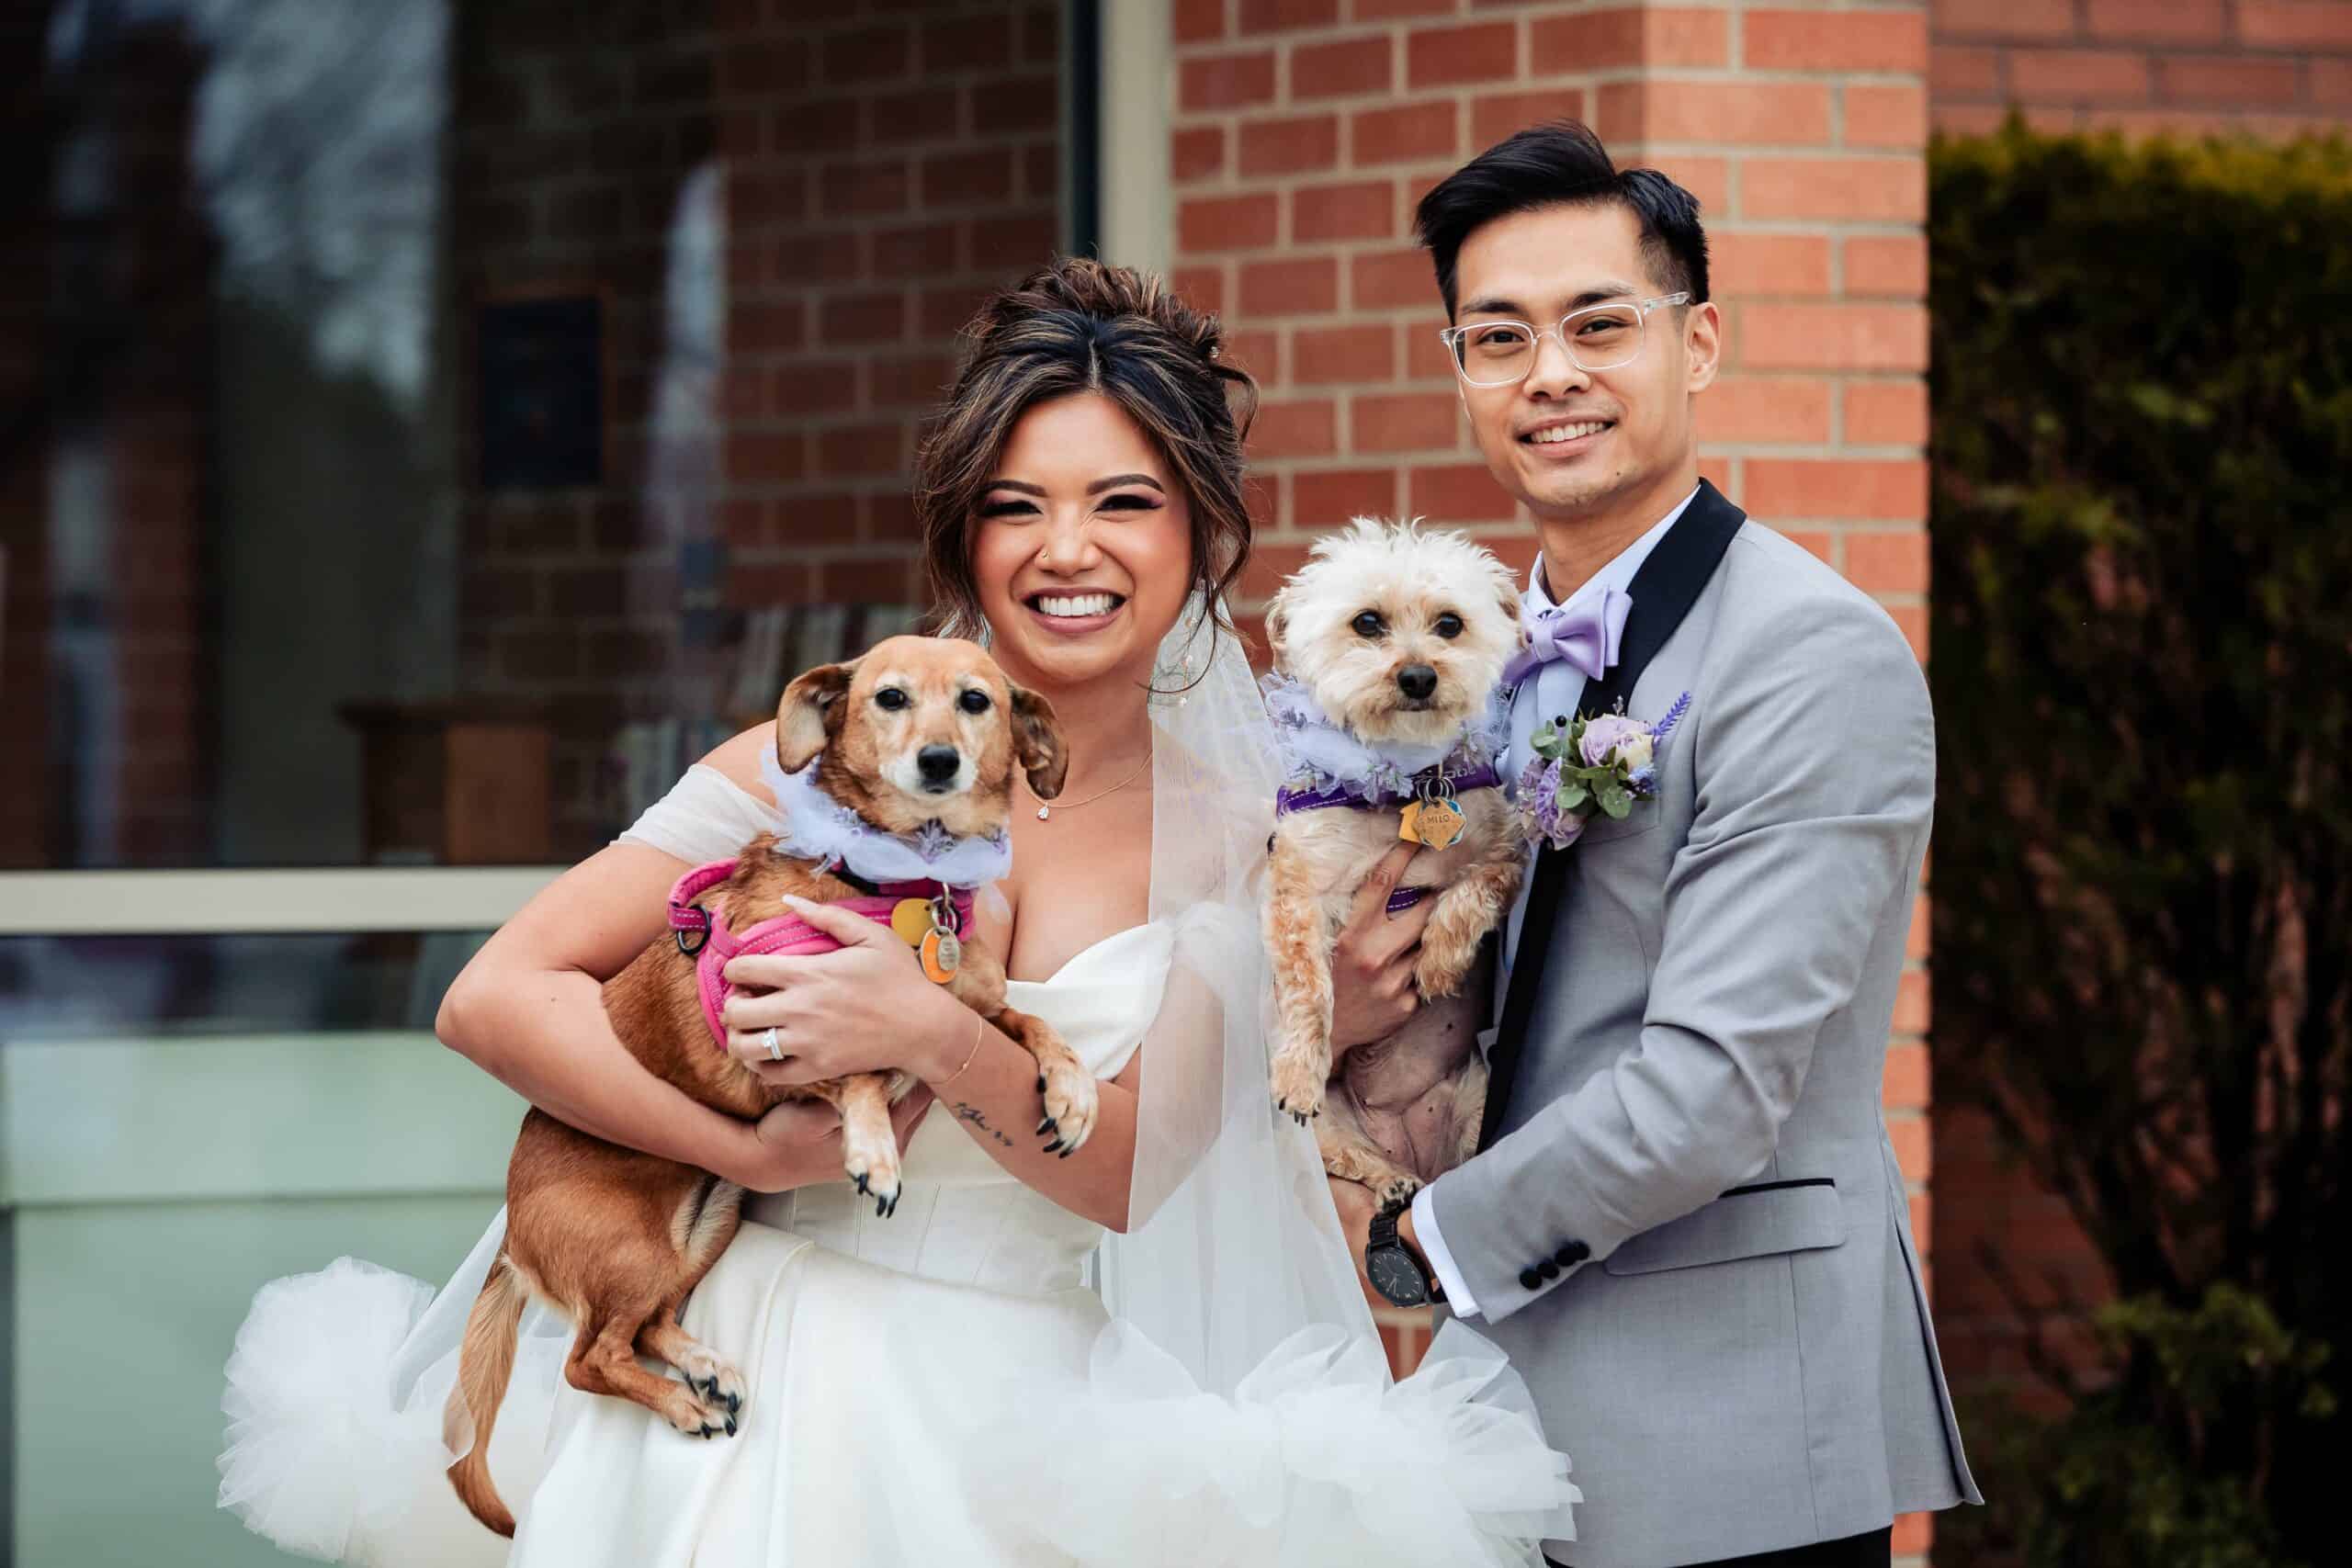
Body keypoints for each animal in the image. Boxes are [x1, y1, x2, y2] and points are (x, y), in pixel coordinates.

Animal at [444, 634, 1086, 1532]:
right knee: (588, 1356)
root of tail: (510, 1229)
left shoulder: (972, 1012)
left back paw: (702, 1367)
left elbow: (1031, 1024)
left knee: (644, 1327)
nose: (938, 760)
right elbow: (858, 1068)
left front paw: (1072, 1091)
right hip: (632, 1245)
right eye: (889, 697)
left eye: (975, 701)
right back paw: (688, 1404)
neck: (893, 887)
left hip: (706, 1222)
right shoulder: (775, 1042)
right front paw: (875, 1150)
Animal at [1270, 517, 1523, 1203]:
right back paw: (1388, 1182)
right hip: (1328, 1132)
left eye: (1450, 624)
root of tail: (1405, 1140)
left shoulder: (1506, 849)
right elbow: (1307, 984)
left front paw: (1437, 961)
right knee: (1348, 1157)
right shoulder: (1300, 885)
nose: (1417, 677)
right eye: (1366, 622)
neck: (1404, 787)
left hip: (1475, 1100)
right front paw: (1297, 1071)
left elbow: (1473, 891)